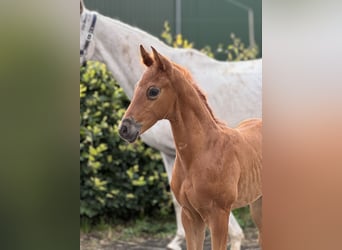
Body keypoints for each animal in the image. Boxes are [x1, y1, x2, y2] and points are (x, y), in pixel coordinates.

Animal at [119, 46, 262, 249]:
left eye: (153, 91)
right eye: (137, 85)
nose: (124, 129)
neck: (202, 152)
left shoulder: (219, 215)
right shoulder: (190, 216)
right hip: (257, 203)